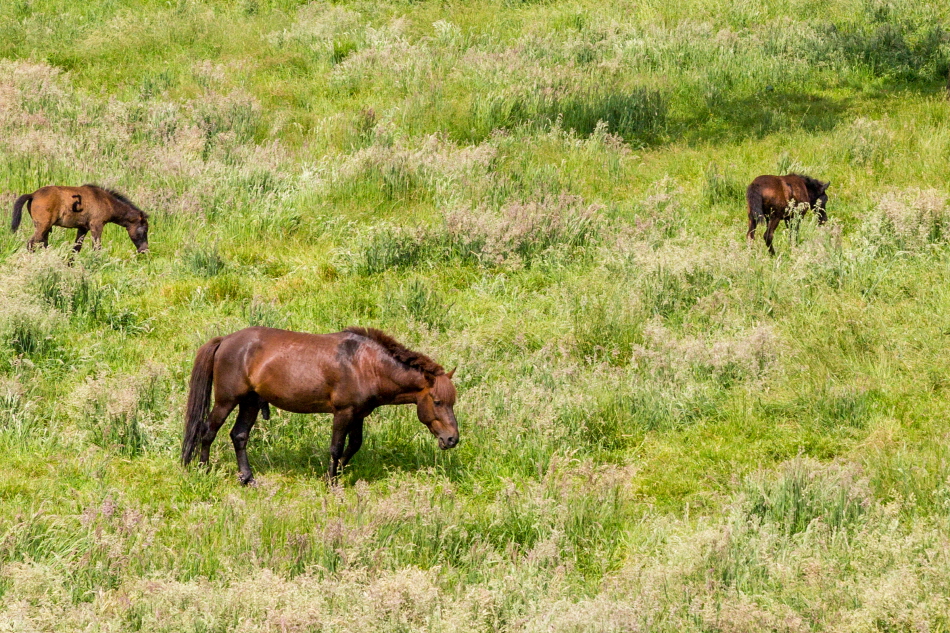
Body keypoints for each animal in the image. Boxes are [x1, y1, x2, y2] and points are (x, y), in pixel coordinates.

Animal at [12, 184, 150, 253]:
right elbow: (97, 247)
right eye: (144, 230)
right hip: (43, 226)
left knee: (43, 245)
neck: (105, 200)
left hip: (45, 228)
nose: (145, 250)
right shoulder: (96, 225)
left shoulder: (83, 228)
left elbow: (76, 248)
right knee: (31, 244)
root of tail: (33, 194)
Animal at [183, 326, 462, 484]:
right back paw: (203, 469)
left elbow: (354, 445)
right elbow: (336, 447)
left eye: (452, 401)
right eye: (437, 401)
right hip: (226, 401)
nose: (452, 439)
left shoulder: (358, 414)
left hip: (250, 402)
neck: (366, 364)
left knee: (239, 436)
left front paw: (338, 474)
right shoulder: (343, 412)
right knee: (207, 431)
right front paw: (330, 481)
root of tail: (225, 340)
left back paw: (247, 478)